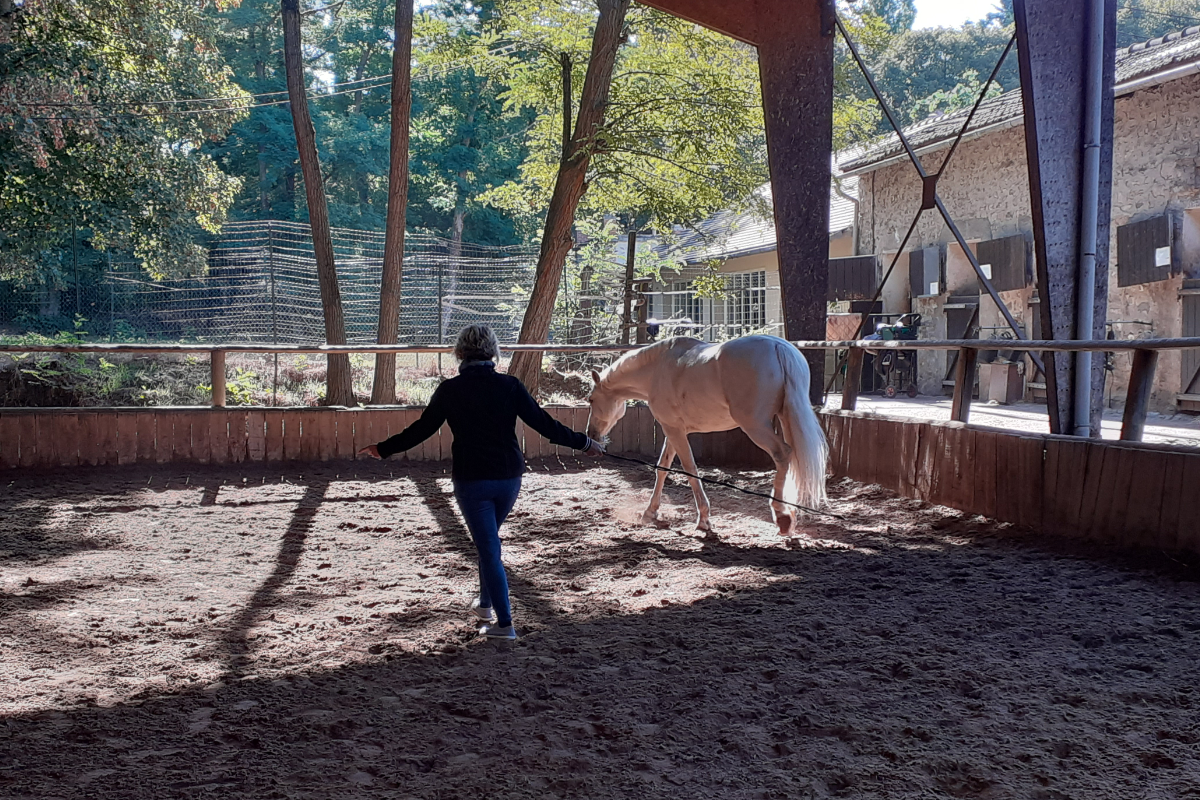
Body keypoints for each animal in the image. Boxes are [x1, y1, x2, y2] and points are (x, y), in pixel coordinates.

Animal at [588, 335, 830, 534]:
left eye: (590, 399)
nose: (592, 433)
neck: (657, 369)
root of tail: (779, 347)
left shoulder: (674, 431)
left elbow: (689, 469)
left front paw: (703, 519)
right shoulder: (673, 430)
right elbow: (662, 468)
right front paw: (650, 512)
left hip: (755, 426)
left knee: (782, 454)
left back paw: (782, 517)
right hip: (785, 418)